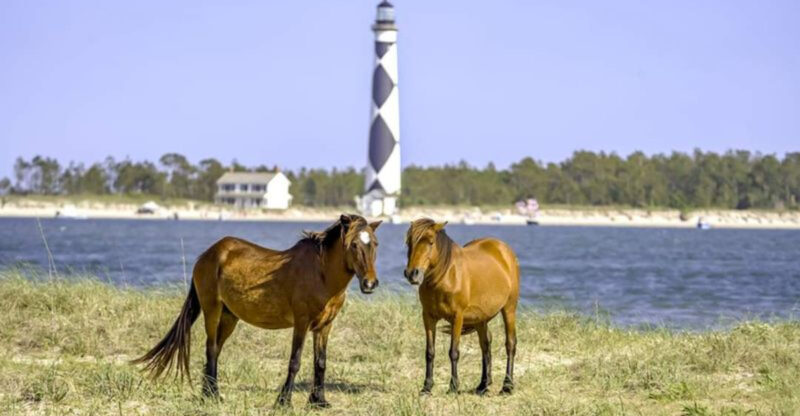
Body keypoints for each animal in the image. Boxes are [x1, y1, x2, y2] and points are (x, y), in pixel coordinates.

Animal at [133, 214, 382, 408]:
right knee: (211, 349)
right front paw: (283, 402)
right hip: (212, 309)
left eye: (375, 244)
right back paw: (213, 396)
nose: (370, 284)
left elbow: (320, 363)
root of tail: (208, 254)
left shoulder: (324, 326)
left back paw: (208, 393)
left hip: (229, 317)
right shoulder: (301, 323)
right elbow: (295, 361)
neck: (321, 274)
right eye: (354, 245)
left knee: (216, 349)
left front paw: (318, 401)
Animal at [403, 218, 519, 395]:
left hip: (509, 309)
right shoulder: (428, 317)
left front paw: (453, 387)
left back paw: (507, 386)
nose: (412, 274)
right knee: (485, 345)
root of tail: (504, 249)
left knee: (510, 344)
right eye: (409, 242)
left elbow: (454, 352)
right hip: (480, 319)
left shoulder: (457, 317)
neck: (445, 276)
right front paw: (427, 387)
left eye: (430, 242)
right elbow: (429, 352)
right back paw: (483, 385)